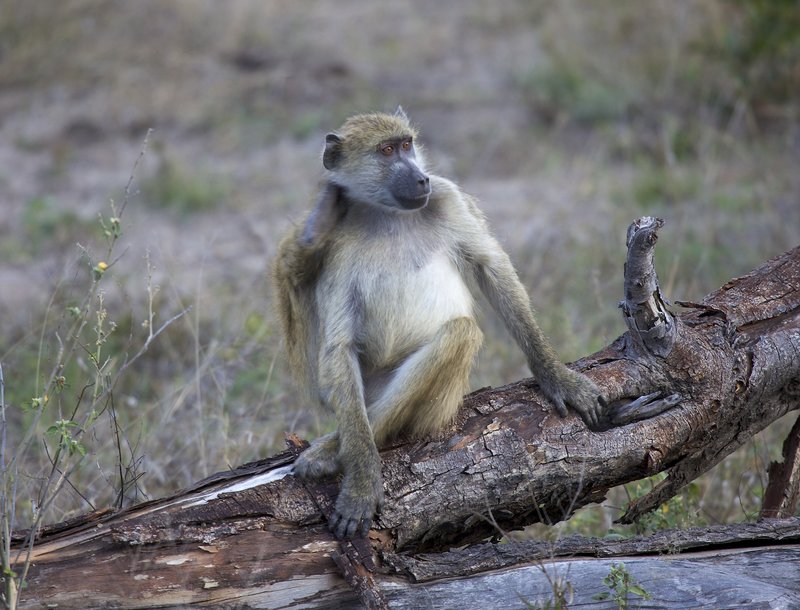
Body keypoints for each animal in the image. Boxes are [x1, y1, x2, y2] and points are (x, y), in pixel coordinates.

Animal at [272, 108, 603, 539]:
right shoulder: (336, 244)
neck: (386, 213)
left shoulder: (447, 198)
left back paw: (330, 450)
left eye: (407, 145)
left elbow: (492, 268)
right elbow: (338, 346)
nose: (420, 178)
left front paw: (557, 377)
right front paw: (362, 478)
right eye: (386, 151)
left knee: (459, 332)